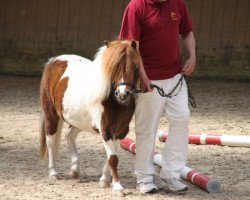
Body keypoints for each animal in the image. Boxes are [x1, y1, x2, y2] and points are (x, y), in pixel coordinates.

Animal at [40, 39, 142, 196]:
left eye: (134, 66)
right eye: (112, 68)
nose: (122, 94)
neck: (114, 102)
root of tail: (54, 60)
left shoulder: (120, 131)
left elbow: (111, 156)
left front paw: (104, 181)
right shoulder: (105, 130)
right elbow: (113, 158)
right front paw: (118, 187)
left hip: (78, 120)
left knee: (69, 135)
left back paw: (75, 170)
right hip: (51, 115)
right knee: (51, 140)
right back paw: (53, 173)